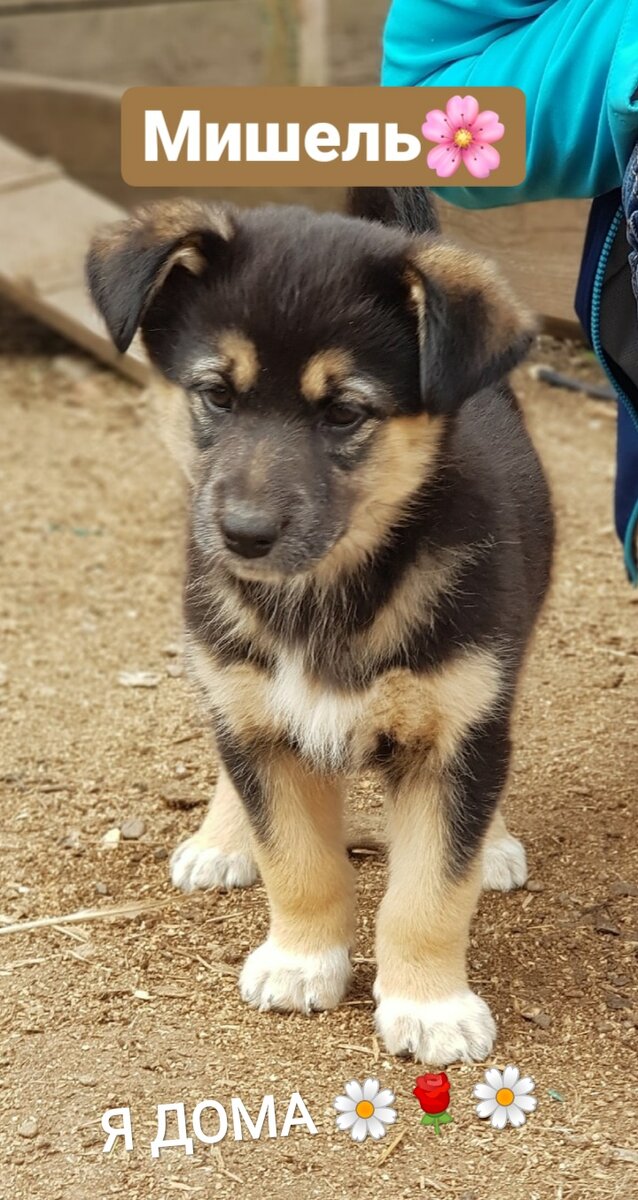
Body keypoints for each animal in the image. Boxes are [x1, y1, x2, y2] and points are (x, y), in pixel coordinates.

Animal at [85, 189, 554, 1070]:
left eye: (344, 412)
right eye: (217, 394)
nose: (243, 535)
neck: (329, 592)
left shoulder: (456, 729)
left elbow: (432, 890)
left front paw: (430, 1006)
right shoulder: (261, 719)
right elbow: (297, 862)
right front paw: (302, 960)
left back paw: (496, 844)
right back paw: (222, 838)